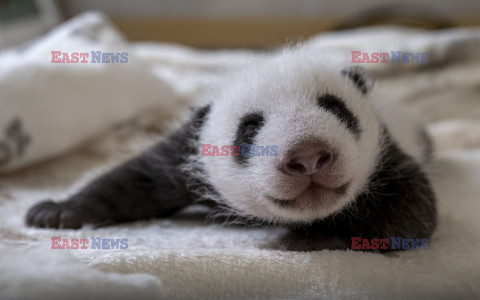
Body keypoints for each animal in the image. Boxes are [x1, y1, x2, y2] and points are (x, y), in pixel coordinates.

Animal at [27, 48, 438, 252]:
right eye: (249, 129)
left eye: (336, 108)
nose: (308, 157)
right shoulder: (191, 149)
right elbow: (135, 179)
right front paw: (55, 211)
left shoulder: (385, 154)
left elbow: (409, 213)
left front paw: (310, 239)